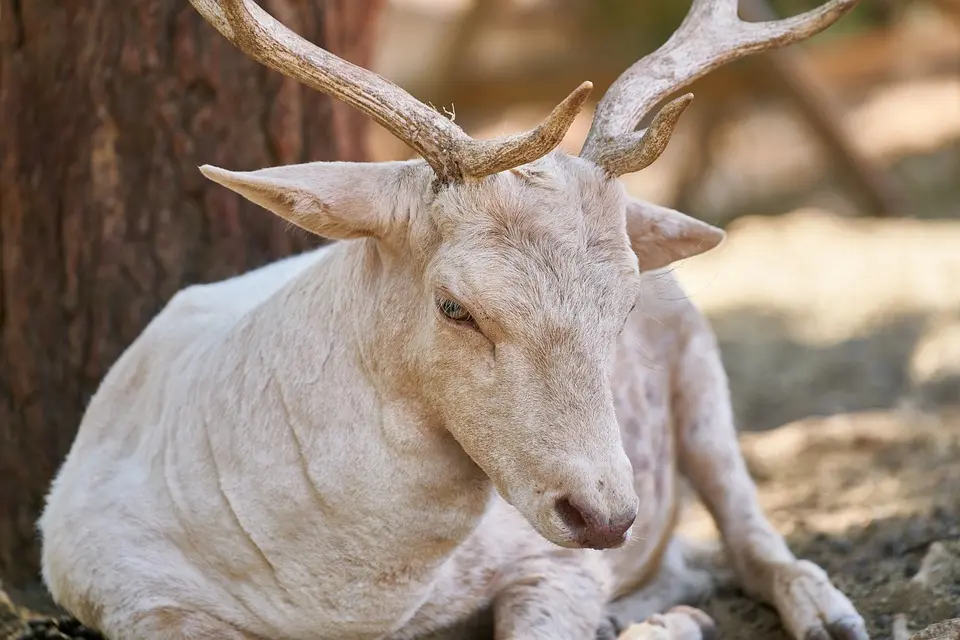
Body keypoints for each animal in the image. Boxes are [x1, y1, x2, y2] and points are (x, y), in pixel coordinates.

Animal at [39, 1, 872, 640]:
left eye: (625, 304)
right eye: (455, 306)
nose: (605, 516)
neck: (342, 608)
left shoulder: (554, 563)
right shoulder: (122, 591)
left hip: (703, 375)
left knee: (746, 532)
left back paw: (820, 614)